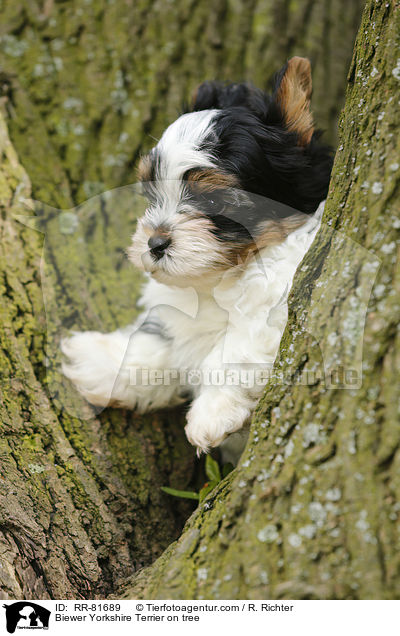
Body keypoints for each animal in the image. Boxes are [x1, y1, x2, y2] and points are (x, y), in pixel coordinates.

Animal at [61, 57, 332, 454]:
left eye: (214, 201)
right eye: (150, 195)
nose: (154, 244)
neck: (225, 276)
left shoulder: (281, 296)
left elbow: (239, 345)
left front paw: (211, 413)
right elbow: (160, 338)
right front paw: (101, 360)